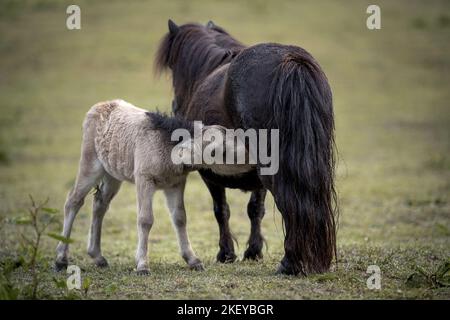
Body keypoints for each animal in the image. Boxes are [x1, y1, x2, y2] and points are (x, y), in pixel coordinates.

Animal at [156, 20, 336, 276]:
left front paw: (226, 253)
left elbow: (221, 210)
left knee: (288, 202)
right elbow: (255, 210)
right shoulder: (256, 179)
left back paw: (290, 263)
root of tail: (291, 61)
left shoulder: (208, 173)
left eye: (173, 69)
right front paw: (253, 251)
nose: (174, 106)